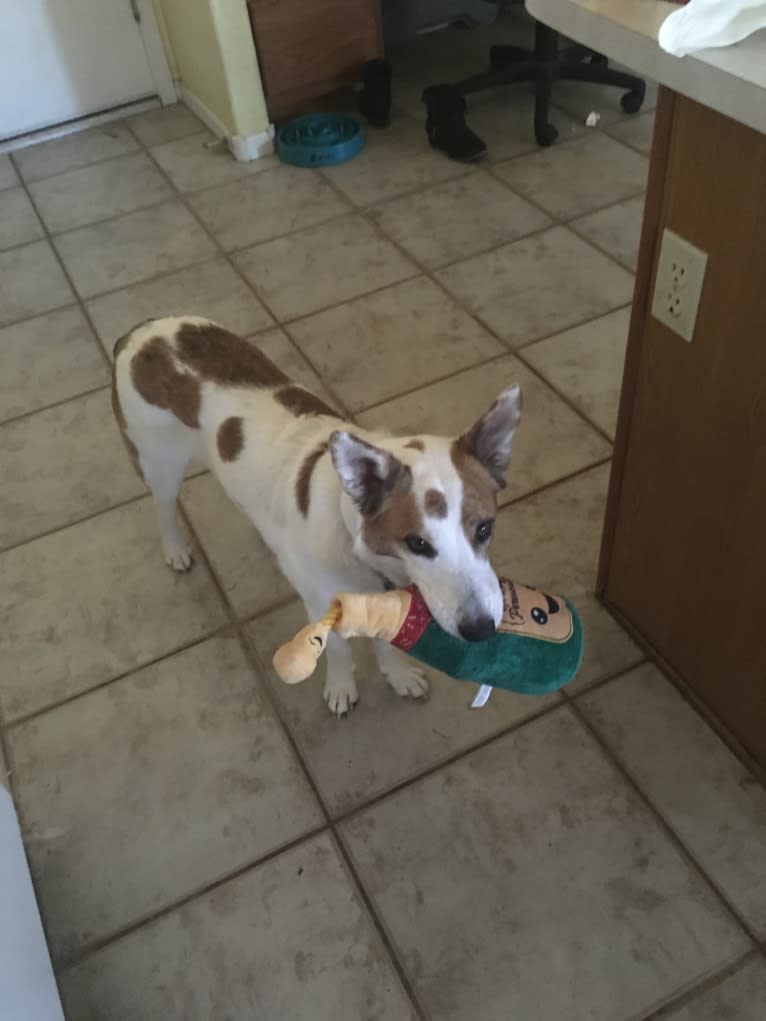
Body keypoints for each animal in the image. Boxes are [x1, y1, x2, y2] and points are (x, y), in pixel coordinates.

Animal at [112, 318, 522, 718]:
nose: (482, 629)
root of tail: (140, 332)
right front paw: (341, 688)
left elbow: (386, 647)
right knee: (164, 506)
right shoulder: (322, 603)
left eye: (485, 528)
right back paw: (175, 549)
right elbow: (338, 652)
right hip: (160, 463)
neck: (363, 553)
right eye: (417, 542)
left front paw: (398, 675)